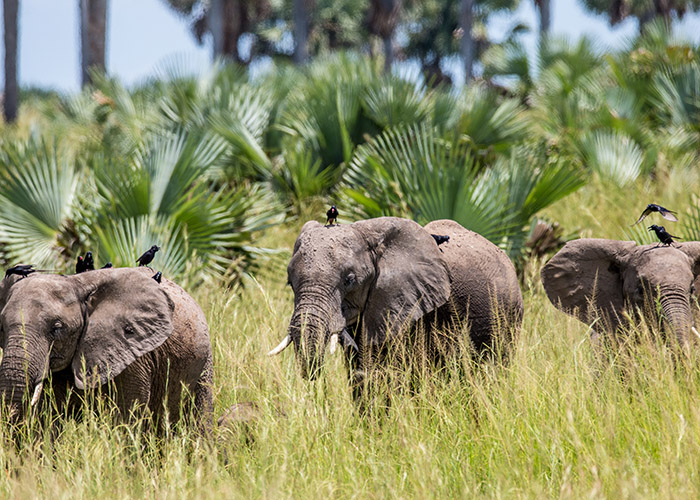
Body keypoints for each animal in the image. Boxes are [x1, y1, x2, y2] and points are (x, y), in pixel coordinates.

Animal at [0, 266, 212, 430]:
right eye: (1, 327)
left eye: (57, 328)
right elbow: (48, 421)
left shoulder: (132, 355)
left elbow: (127, 416)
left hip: (203, 363)